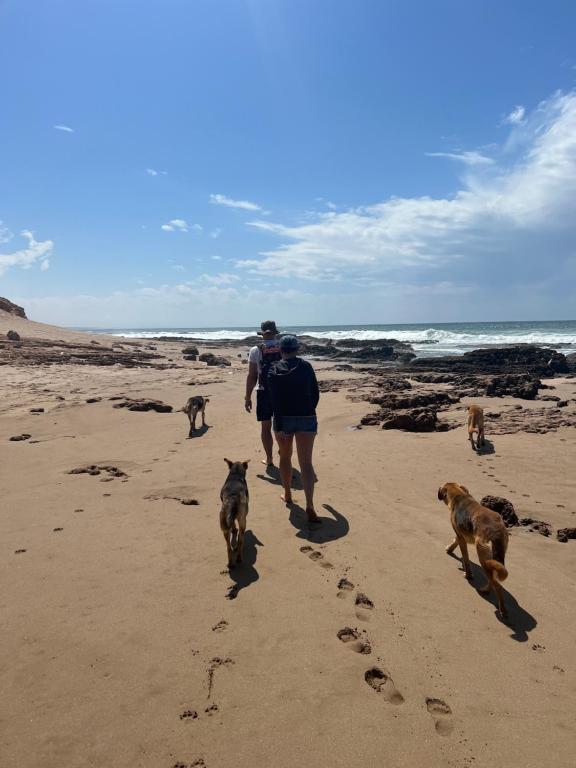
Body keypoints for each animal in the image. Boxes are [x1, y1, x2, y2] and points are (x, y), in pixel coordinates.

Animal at [436, 484, 508, 616]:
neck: (460, 495)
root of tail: (496, 531)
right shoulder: (459, 535)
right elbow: (455, 541)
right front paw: (450, 548)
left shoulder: (461, 537)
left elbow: (466, 558)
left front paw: (468, 574)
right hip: (498, 555)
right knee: (494, 578)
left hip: (482, 555)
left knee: (496, 584)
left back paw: (501, 608)